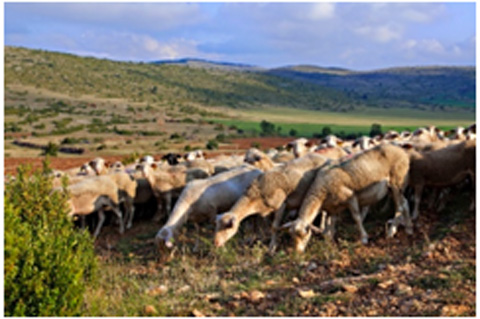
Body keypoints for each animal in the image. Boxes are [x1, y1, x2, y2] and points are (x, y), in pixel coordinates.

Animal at [282, 144, 412, 254]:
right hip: (392, 188)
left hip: (397, 183)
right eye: (292, 237)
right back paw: (408, 229)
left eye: (303, 236)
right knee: (403, 205)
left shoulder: (350, 197)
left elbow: (356, 218)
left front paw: (364, 238)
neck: (321, 190)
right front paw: (329, 240)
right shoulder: (332, 207)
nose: (297, 253)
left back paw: (392, 232)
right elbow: (332, 222)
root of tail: (402, 151)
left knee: (401, 206)